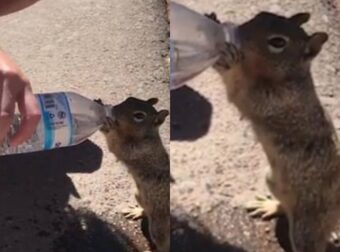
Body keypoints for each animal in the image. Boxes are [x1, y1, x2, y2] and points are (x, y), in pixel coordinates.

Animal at [94, 97, 170, 252]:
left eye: (139, 116)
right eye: (129, 99)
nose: (113, 110)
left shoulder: (136, 150)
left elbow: (115, 144)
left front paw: (108, 123)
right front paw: (99, 105)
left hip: (159, 226)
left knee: (163, 243)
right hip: (138, 195)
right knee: (146, 210)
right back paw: (137, 211)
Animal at [207, 10, 340, 251]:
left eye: (278, 42)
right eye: (261, 15)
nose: (238, 33)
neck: (289, 78)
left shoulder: (271, 100)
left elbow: (237, 87)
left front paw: (226, 56)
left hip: (308, 224)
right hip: (272, 179)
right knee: (285, 207)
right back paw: (270, 206)